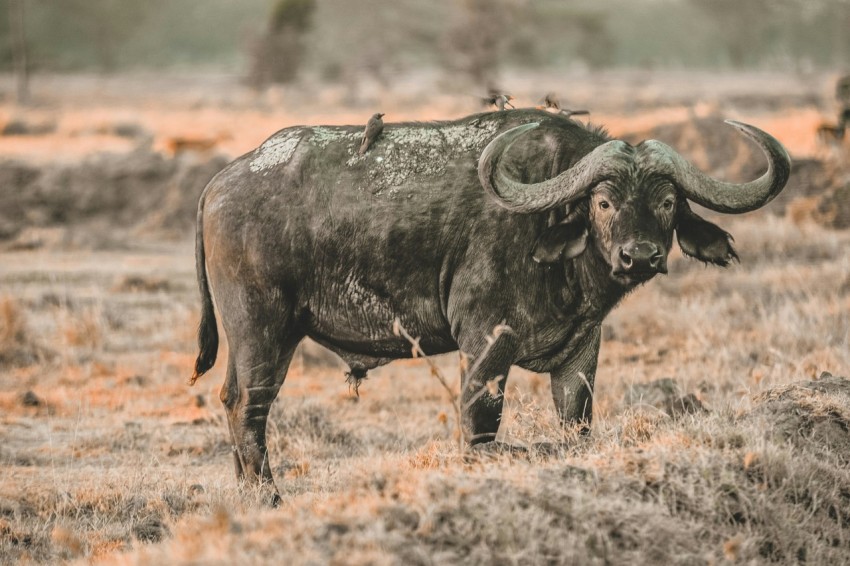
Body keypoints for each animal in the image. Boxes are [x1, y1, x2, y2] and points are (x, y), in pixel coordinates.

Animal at [190, 108, 788, 504]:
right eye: (603, 201)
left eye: (667, 203)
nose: (638, 255)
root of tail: (221, 182)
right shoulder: (484, 342)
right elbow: (481, 425)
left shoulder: (581, 351)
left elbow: (577, 424)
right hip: (264, 331)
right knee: (248, 406)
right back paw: (268, 497)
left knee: (230, 399)